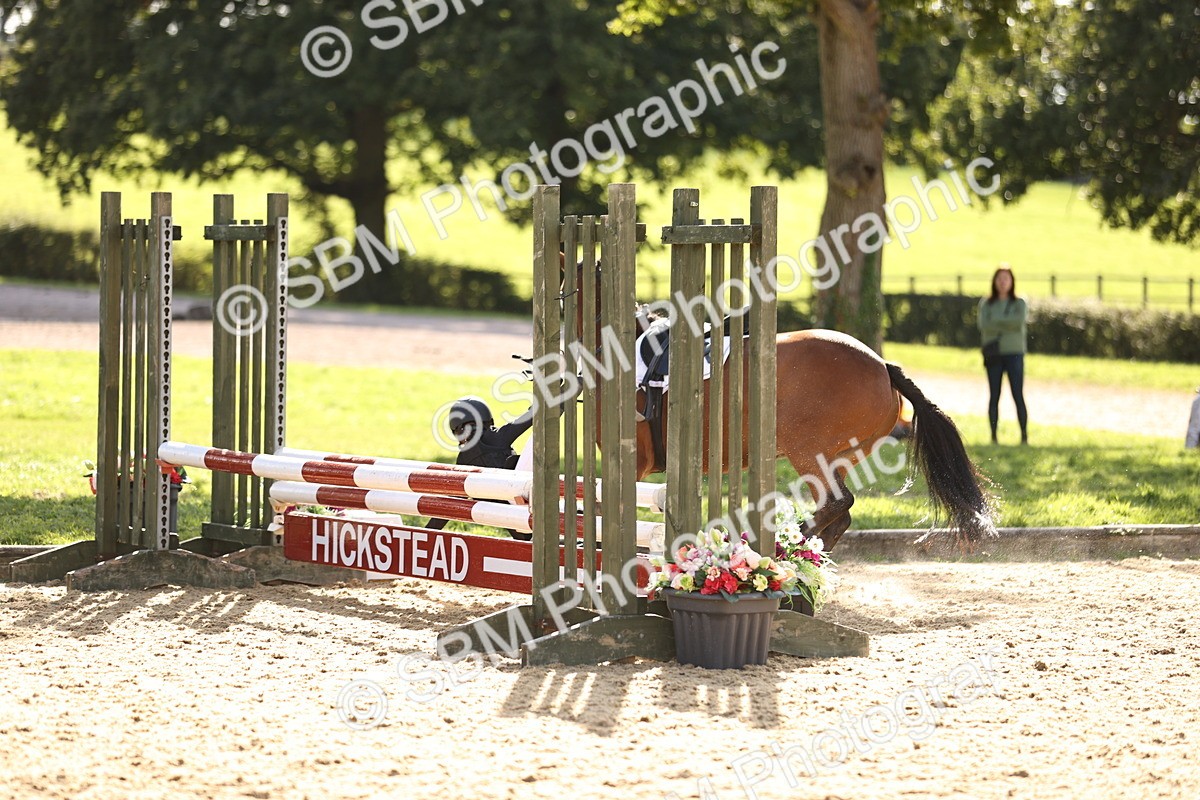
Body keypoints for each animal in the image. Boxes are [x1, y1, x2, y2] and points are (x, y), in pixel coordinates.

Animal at [569, 260, 996, 550]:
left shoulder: (633, 461)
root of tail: (883, 367)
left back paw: (784, 549)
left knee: (837, 503)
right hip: (836, 457)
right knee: (839, 514)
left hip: (807, 450)